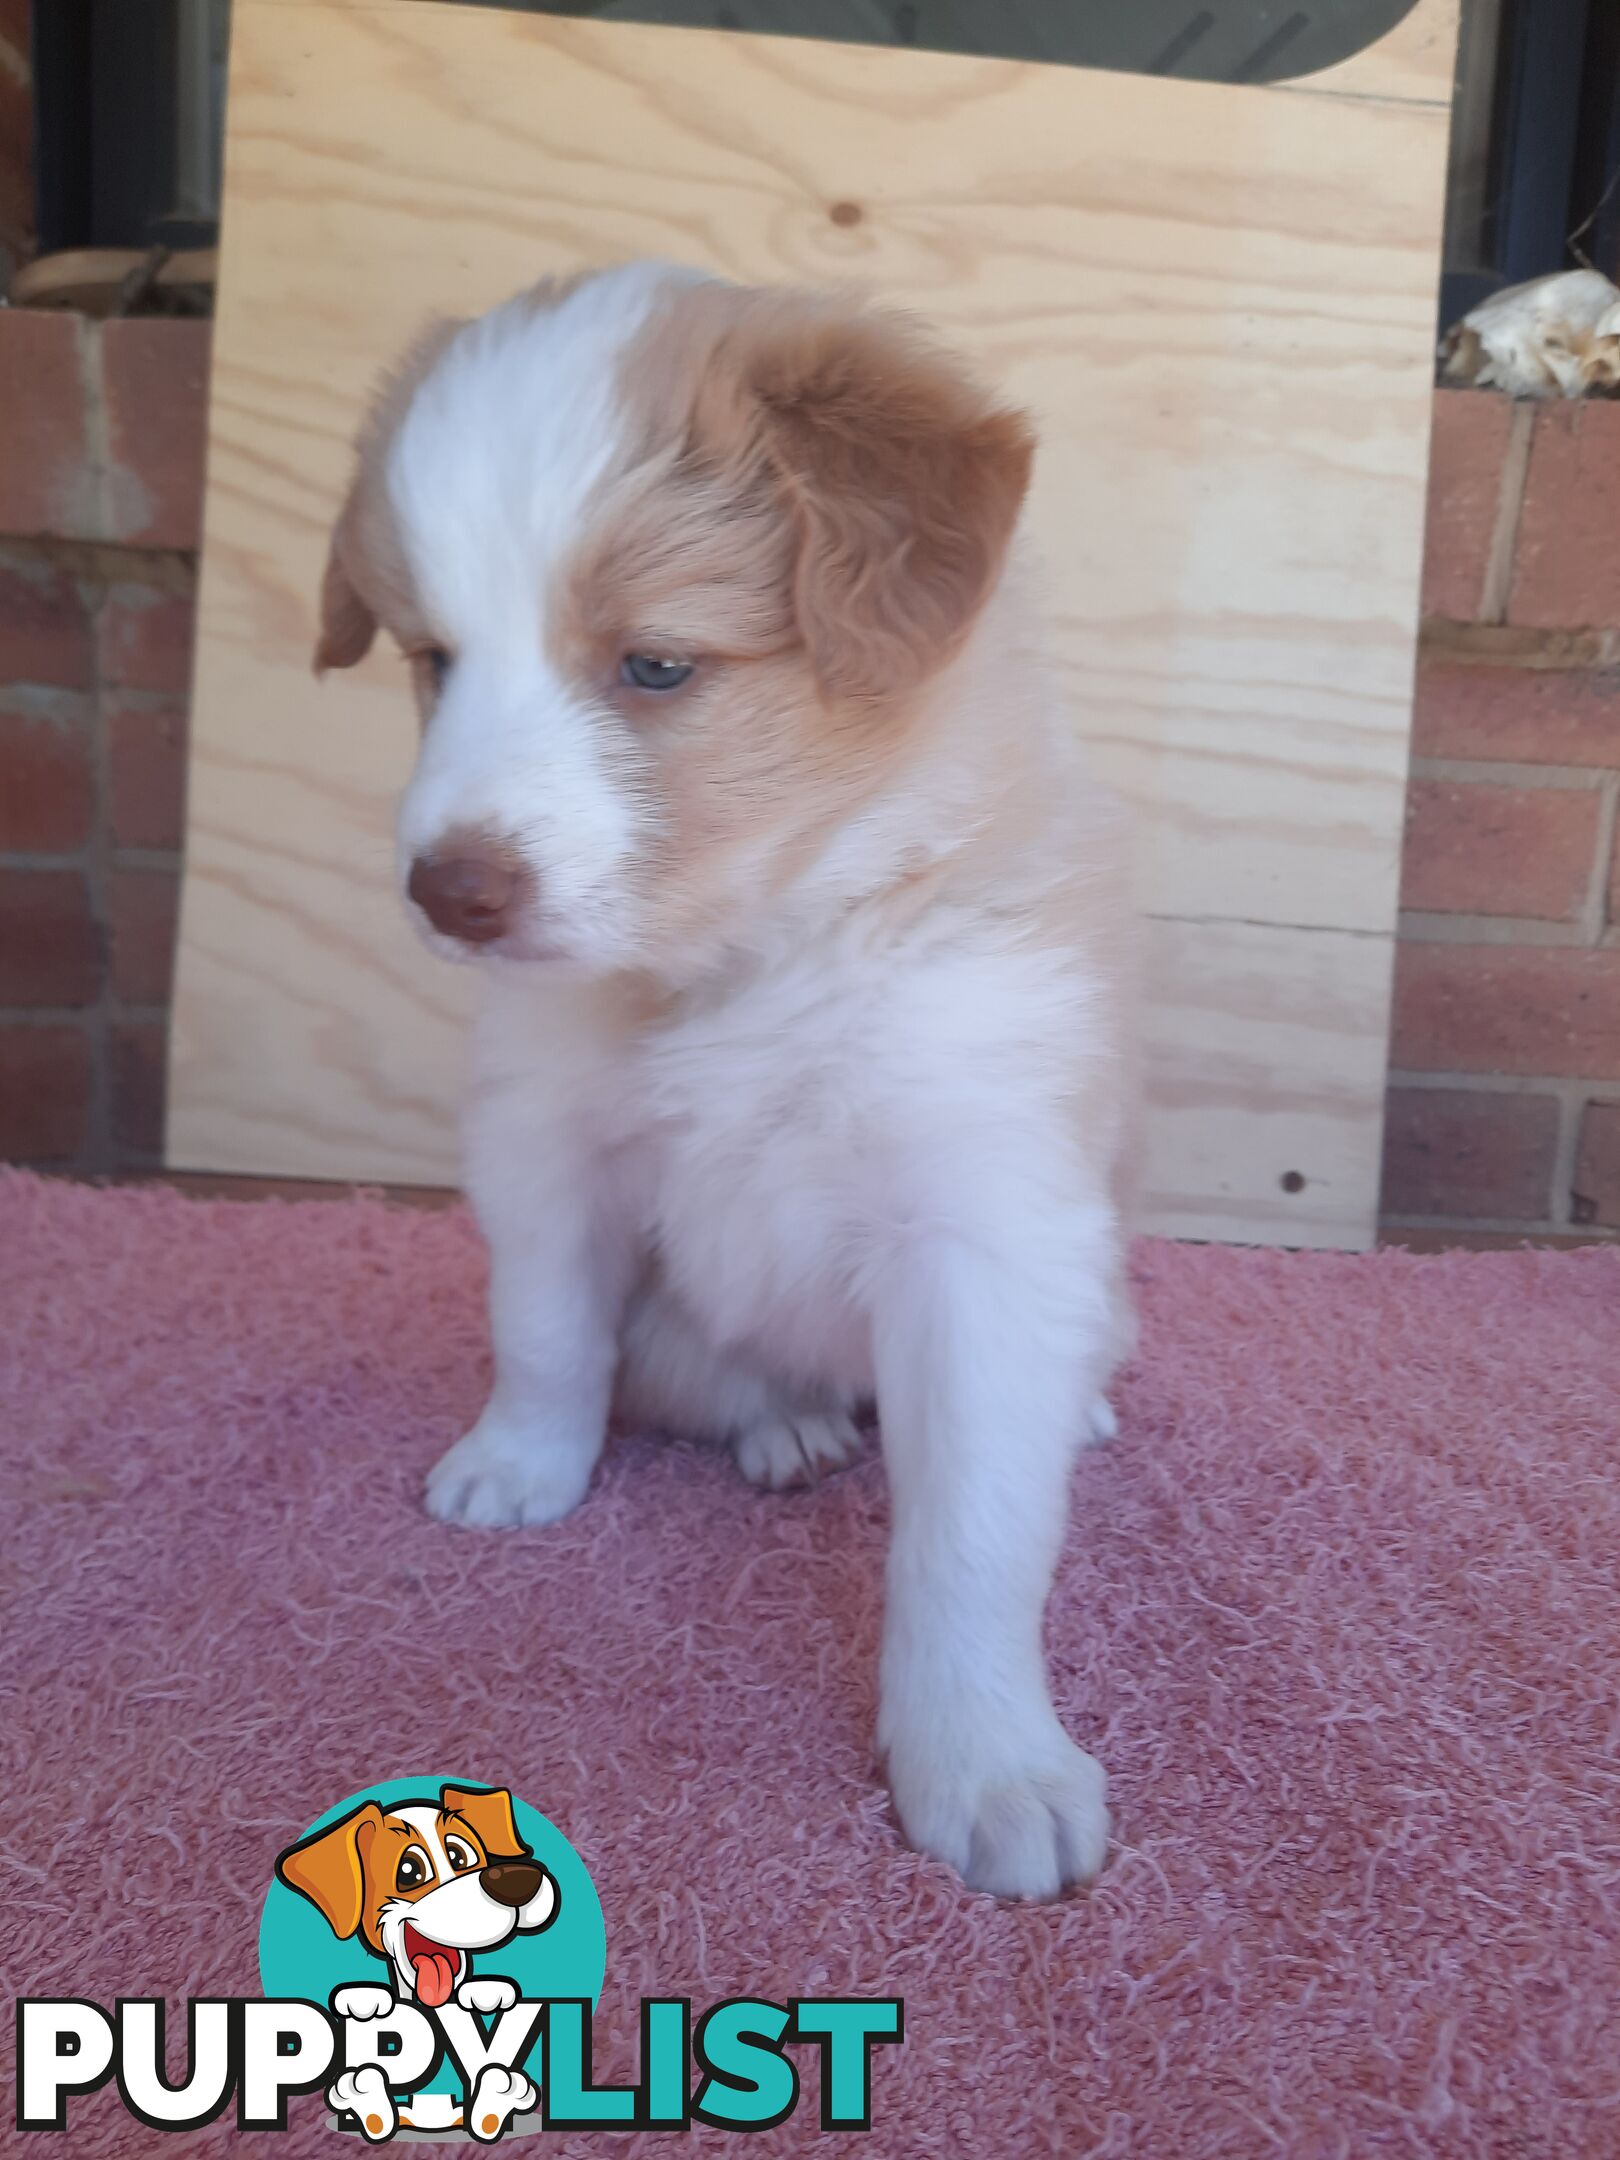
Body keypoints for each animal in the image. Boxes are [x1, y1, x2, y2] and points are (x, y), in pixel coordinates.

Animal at [313, 261, 1131, 1900]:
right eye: (434, 660)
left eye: (658, 665)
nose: (451, 895)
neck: (755, 959)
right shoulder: (545, 1148)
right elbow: (545, 1334)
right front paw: (518, 1467)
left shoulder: (985, 1220)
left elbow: (972, 1534)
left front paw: (984, 1765)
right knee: (717, 1377)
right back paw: (787, 1430)